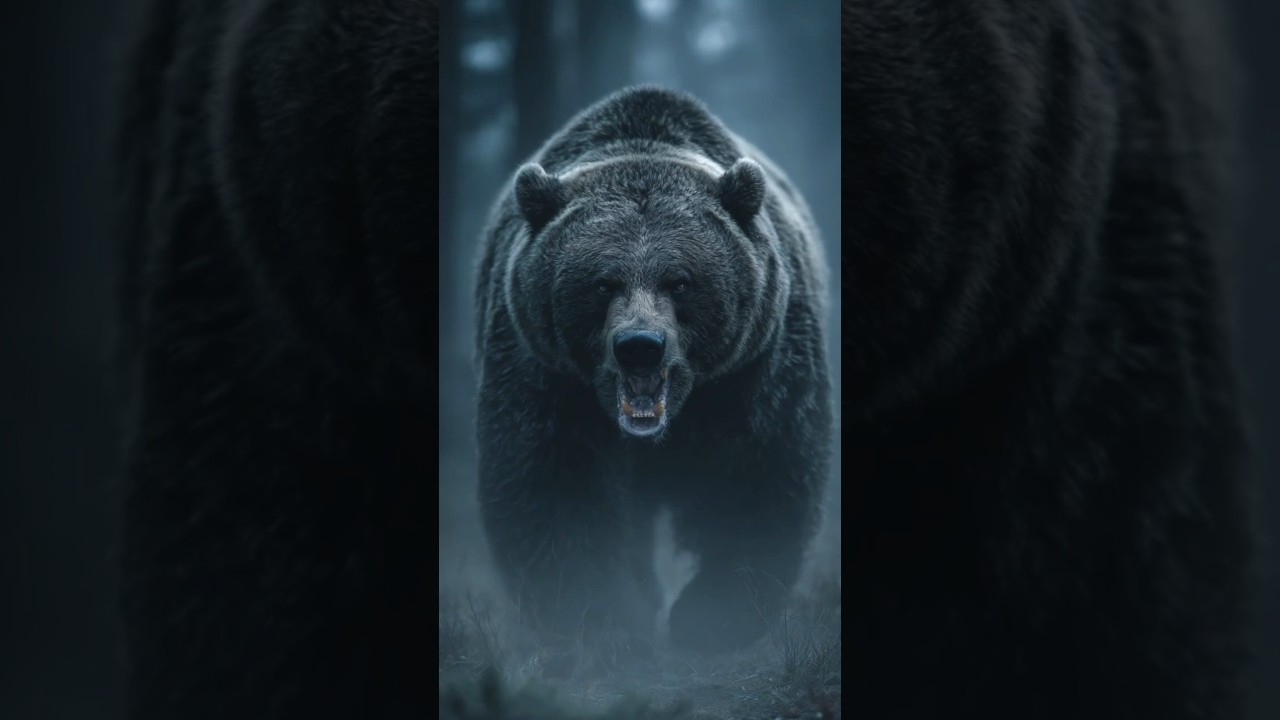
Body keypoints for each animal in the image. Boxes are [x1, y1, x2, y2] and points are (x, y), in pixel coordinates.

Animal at [474, 85, 834, 661]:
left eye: (680, 281)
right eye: (603, 283)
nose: (640, 346)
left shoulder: (755, 371)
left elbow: (757, 474)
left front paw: (711, 617)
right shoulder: (546, 374)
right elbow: (555, 483)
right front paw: (607, 623)